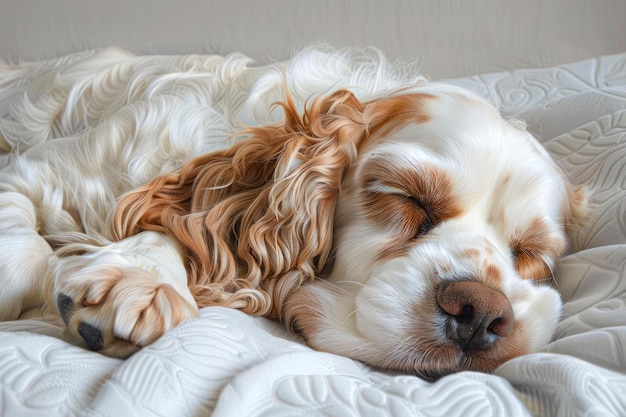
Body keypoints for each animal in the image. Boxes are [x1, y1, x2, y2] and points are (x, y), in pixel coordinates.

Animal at [1, 46, 584, 376]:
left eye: (531, 256)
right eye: (406, 198)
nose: (481, 312)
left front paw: (141, 276)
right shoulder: (35, 172)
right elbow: (20, 251)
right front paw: (139, 277)